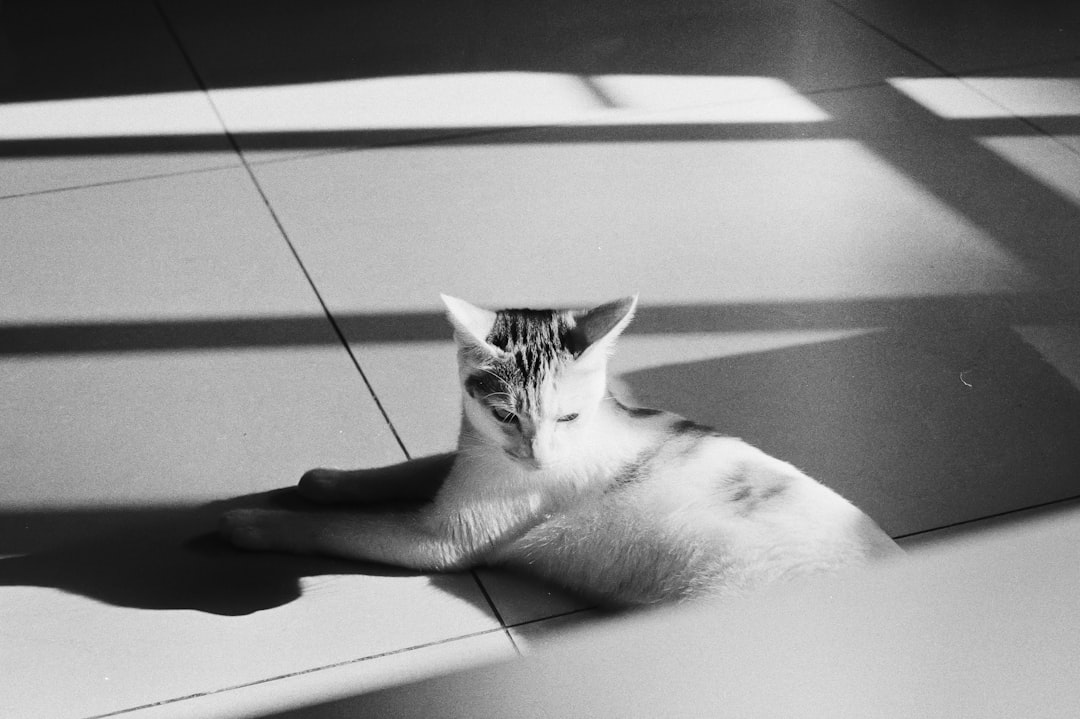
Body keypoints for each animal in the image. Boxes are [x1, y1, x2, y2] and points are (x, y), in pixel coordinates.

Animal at [221, 293, 902, 600]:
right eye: (505, 414)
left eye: (569, 416)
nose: (540, 458)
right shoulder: (471, 454)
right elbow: (411, 468)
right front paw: (327, 480)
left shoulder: (438, 539)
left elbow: (334, 529)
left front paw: (252, 522)